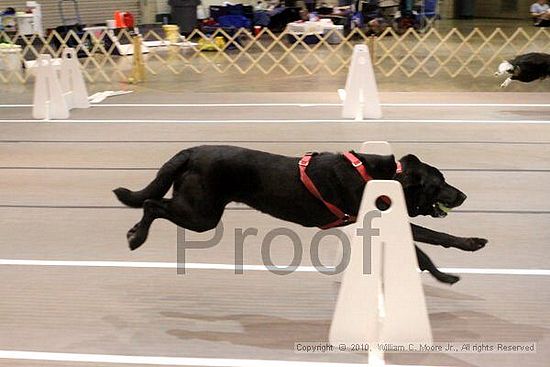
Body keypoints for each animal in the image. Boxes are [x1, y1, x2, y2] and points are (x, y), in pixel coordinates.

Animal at [114, 145, 490, 286]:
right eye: (440, 184)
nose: (463, 195)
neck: (385, 177)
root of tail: (190, 152)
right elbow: (434, 239)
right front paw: (470, 246)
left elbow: (423, 252)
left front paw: (443, 275)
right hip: (202, 214)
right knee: (151, 205)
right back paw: (136, 237)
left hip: (199, 211)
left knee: (153, 204)